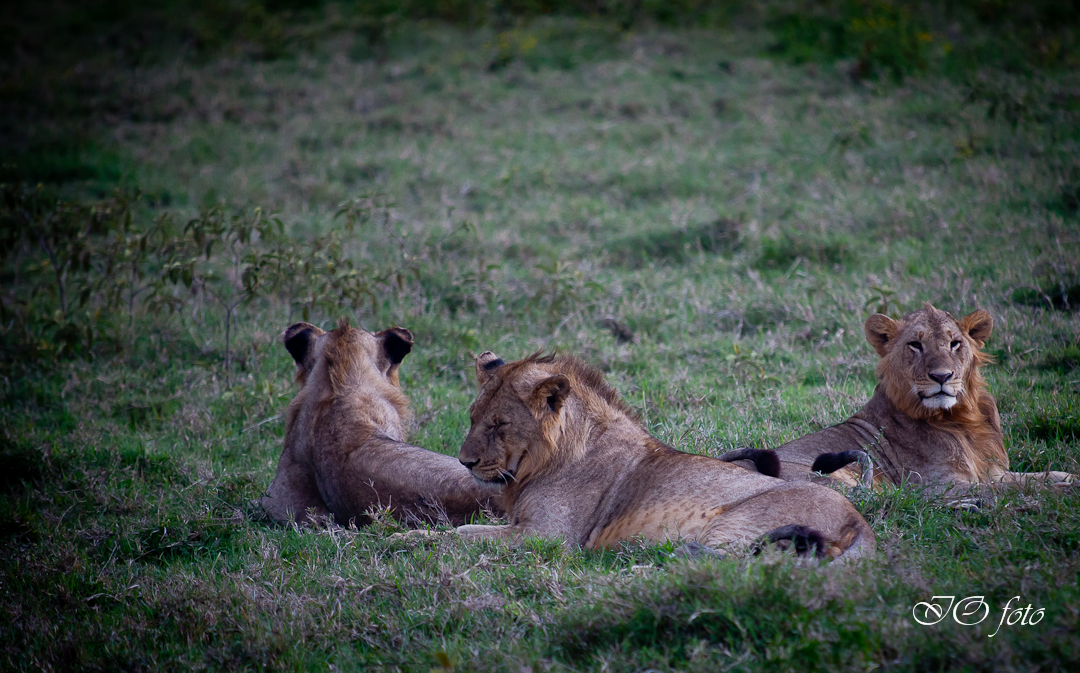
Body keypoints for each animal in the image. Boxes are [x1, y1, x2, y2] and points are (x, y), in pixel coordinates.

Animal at [454, 351, 875, 561]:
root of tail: (859, 521)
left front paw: (435, 542)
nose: (464, 462)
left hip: (735, 525)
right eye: (472, 417)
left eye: (499, 424)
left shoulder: (549, 536)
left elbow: (463, 535)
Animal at [721, 304, 1077, 496]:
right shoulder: (940, 487)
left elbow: (1044, 476)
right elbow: (1019, 489)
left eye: (955, 343)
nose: (942, 376)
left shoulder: (995, 472)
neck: (963, 418)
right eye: (915, 345)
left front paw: (1068, 479)